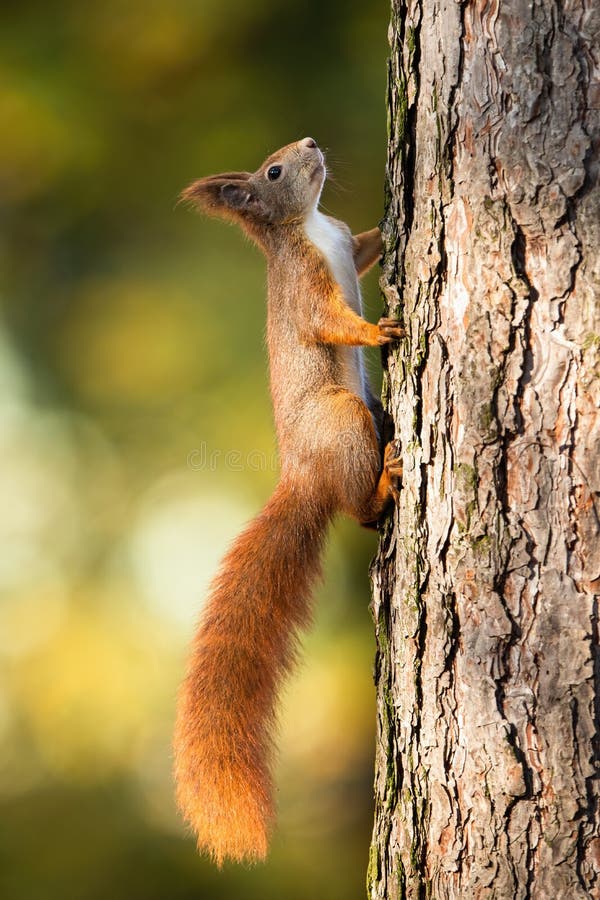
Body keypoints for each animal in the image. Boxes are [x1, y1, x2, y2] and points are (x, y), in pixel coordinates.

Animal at [176, 139, 406, 864]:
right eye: (273, 173)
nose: (310, 145)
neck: (310, 225)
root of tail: (305, 476)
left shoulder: (342, 242)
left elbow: (362, 248)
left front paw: (390, 230)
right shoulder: (306, 288)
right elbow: (331, 322)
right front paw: (378, 331)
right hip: (343, 419)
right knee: (360, 510)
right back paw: (385, 482)